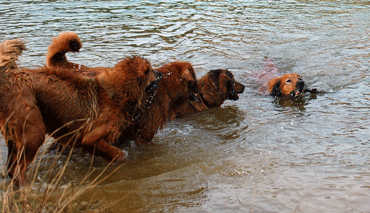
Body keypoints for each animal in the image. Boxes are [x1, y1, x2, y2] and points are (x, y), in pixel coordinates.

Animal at [0, 38, 162, 185]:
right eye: (149, 70)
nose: (161, 74)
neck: (116, 92)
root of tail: (8, 79)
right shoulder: (89, 138)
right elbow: (119, 154)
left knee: (11, 167)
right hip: (33, 132)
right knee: (17, 170)